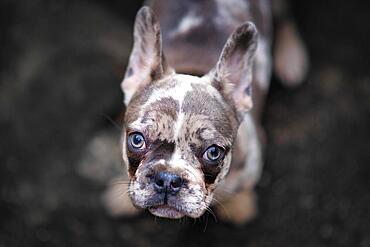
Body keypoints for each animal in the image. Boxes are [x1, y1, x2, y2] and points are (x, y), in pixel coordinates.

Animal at [105, 0, 310, 224]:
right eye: (137, 140)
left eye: (213, 152)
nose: (168, 178)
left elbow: (240, 190)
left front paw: (241, 205)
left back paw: (291, 57)